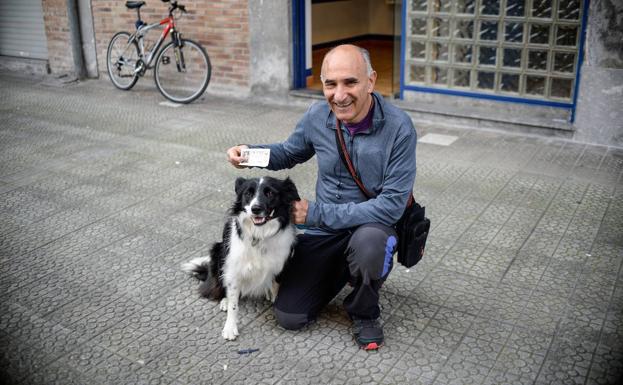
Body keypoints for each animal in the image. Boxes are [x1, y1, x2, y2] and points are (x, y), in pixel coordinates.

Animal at [180, 176, 300, 338]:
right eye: (248, 193)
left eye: (270, 193)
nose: (255, 209)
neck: (259, 234)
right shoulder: (233, 269)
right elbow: (234, 304)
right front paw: (230, 328)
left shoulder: (281, 264)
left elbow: (276, 288)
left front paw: (274, 299)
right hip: (218, 252)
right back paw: (225, 300)